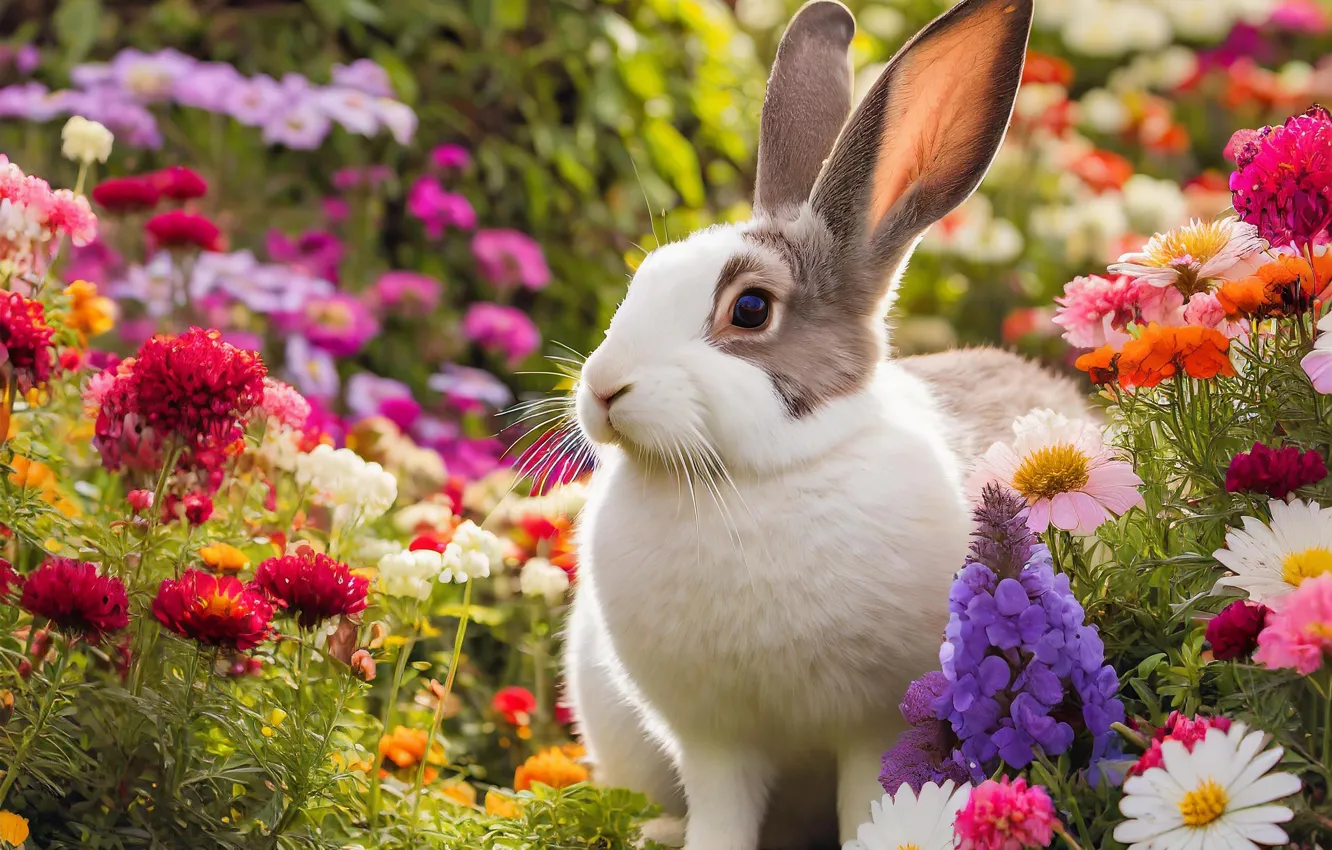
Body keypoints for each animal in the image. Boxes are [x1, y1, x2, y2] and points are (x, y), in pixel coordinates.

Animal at [560, 0, 1086, 848]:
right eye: (642, 280)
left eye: (749, 309)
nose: (604, 389)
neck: (753, 480)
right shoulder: (714, 745)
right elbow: (721, 816)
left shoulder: (874, 728)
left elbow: (871, 799)